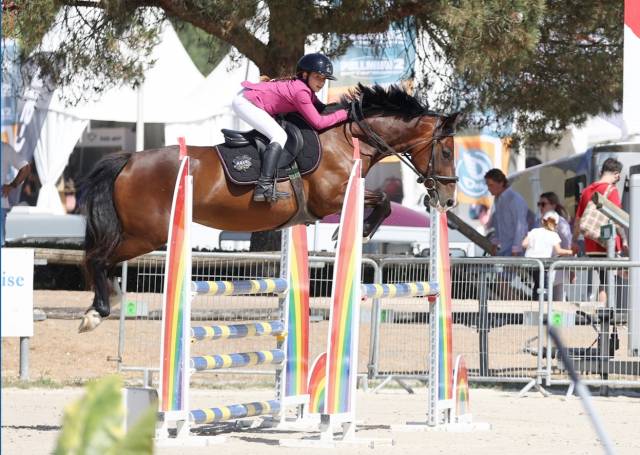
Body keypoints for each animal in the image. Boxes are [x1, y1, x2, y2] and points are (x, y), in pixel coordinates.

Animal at [79, 84, 461, 332]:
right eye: (445, 152)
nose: (448, 200)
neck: (347, 137)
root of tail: (129, 160)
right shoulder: (330, 198)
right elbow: (382, 200)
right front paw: (355, 231)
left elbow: (382, 200)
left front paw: (354, 231)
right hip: (148, 233)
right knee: (97, 258)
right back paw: (97, 311)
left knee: (98, 259)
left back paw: (108, 300)